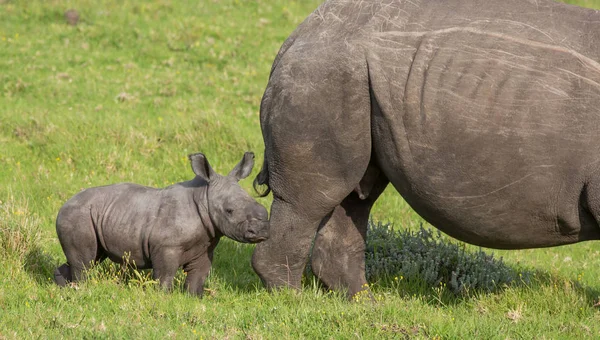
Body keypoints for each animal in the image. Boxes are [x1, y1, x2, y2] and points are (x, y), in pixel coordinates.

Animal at [54, 153, 270, 296]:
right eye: (229, 211)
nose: (262, 230)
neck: (204, 197)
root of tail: (63, 205)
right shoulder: (167, 246)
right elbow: (165, 275)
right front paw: (163, 297)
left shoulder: (205, 245)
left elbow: (198, 277)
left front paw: (194, 298)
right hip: (77, 216)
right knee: (85, 262)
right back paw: (81, 289)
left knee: (91, 257)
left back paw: (63, 287)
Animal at [251, 0, 600, 298]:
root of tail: (296, 36)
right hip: (323, 73)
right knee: (315, 198)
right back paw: (293, 300)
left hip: (349, 75)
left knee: (356, 195)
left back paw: (363, 303)